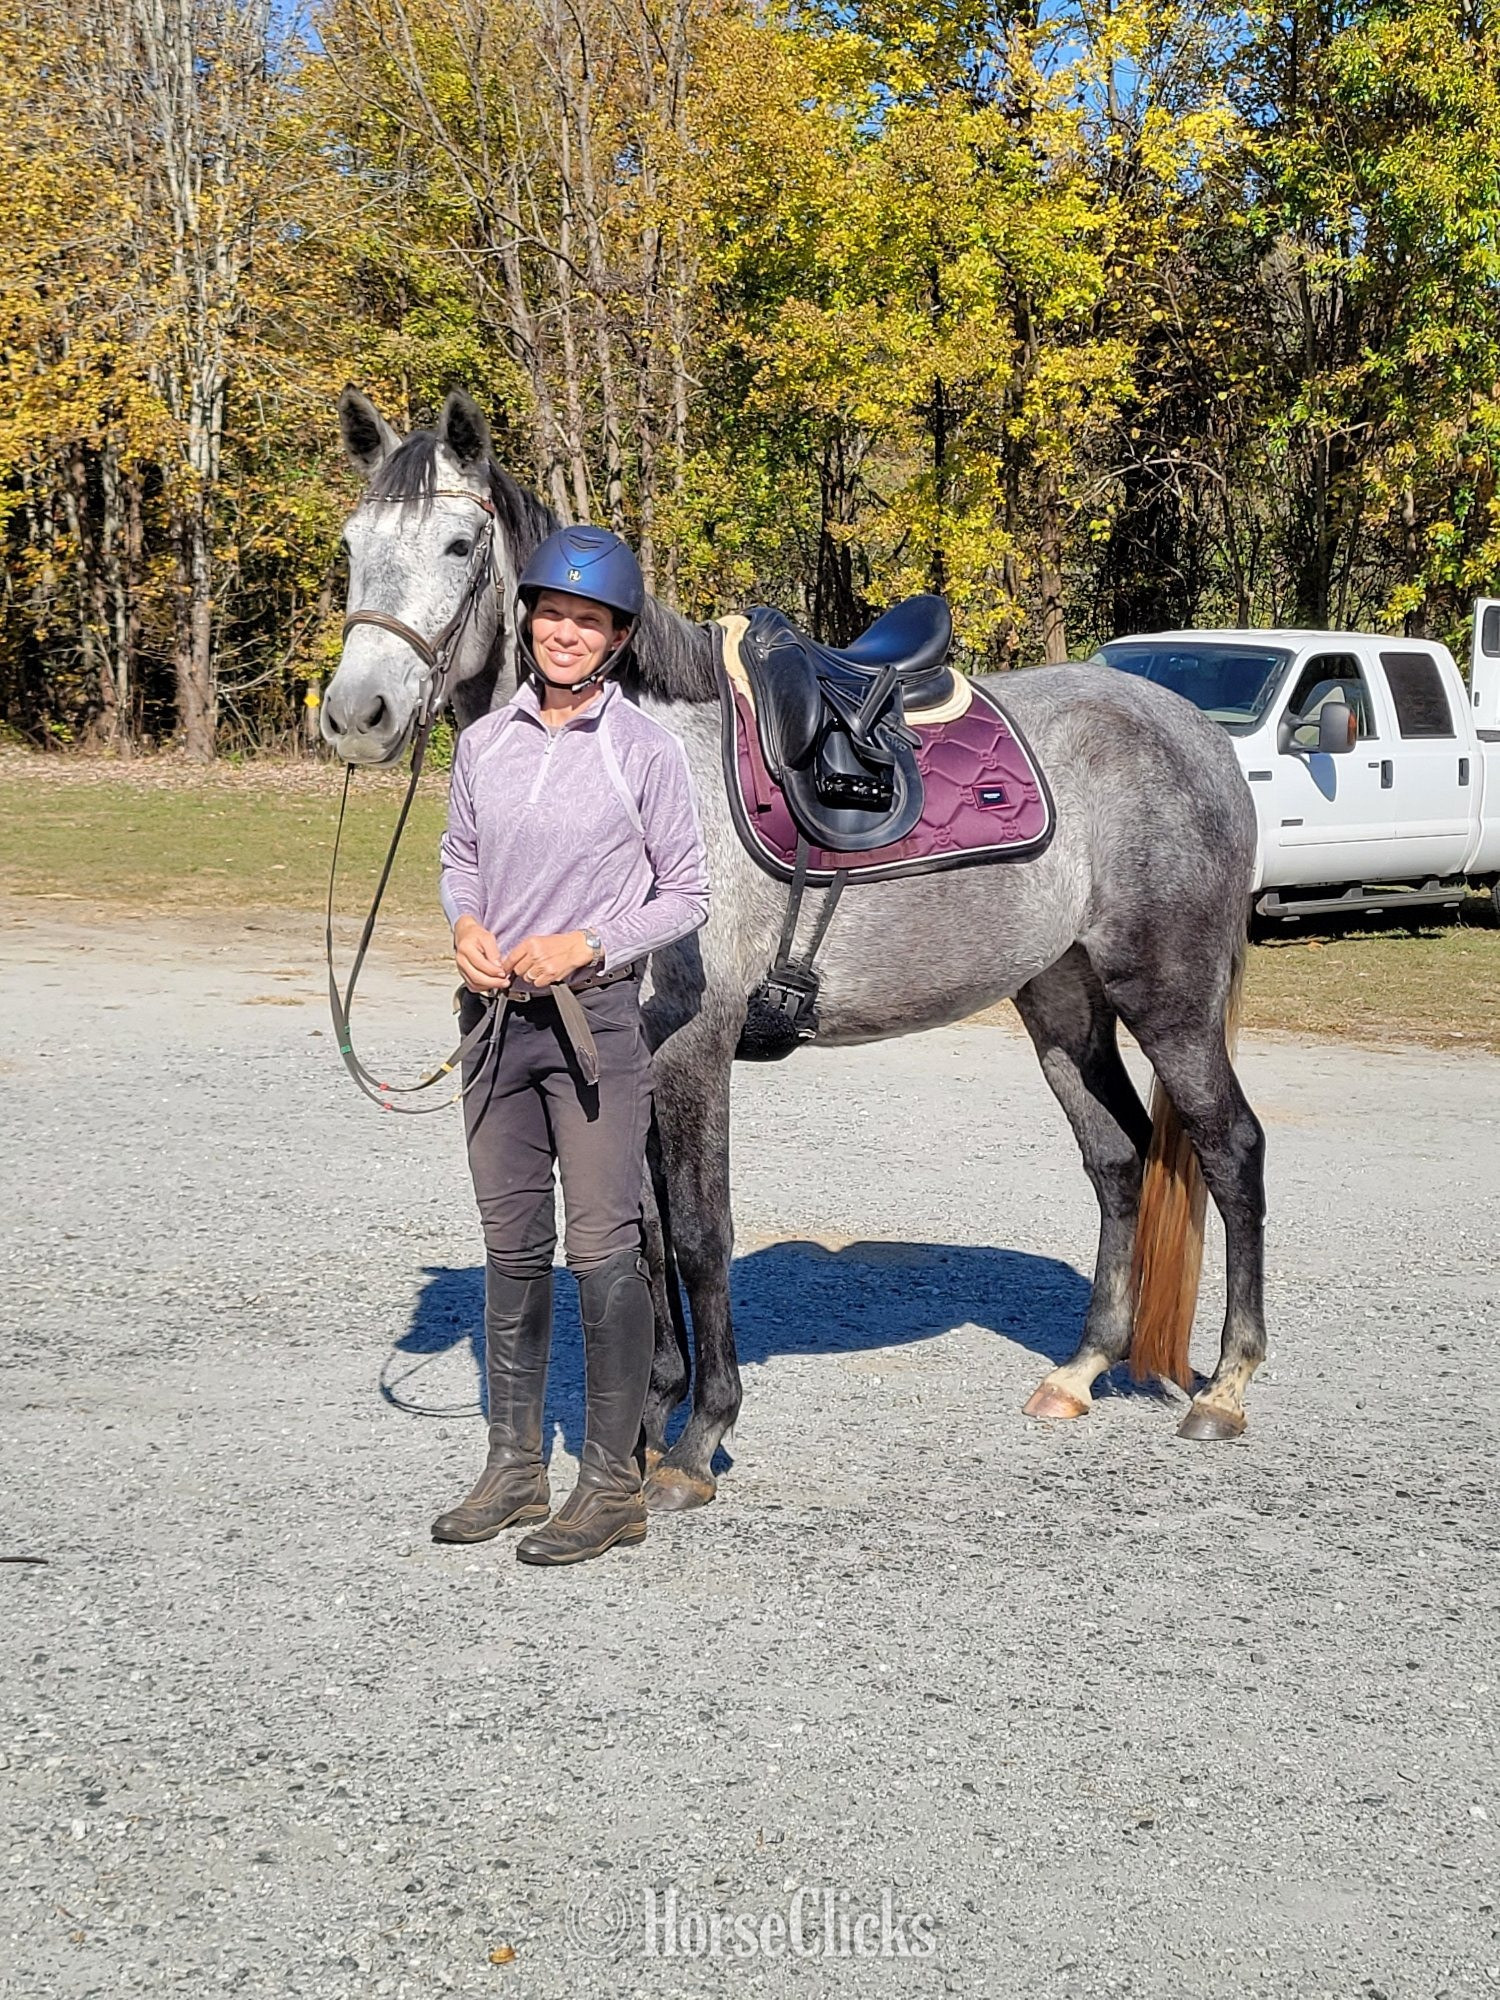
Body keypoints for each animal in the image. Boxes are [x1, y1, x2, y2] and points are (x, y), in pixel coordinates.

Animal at [323, 386, 1267, 1511]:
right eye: (350, 546)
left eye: (459, 544)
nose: (356, 715)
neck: (637, 767)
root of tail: (1195, 731)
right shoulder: (626, 1060)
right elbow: (642, 1234)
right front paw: (645, 1424)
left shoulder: (693, 1051)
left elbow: (699, 1233)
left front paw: (696, 1441)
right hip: (1062, 1001)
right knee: (1118, 1157)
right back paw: (1080, 1372)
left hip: (1169, 997)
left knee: (1231, 1149)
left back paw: (1229, 1387)